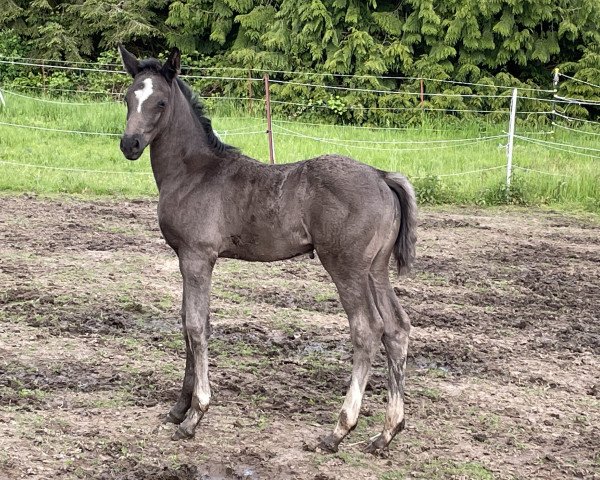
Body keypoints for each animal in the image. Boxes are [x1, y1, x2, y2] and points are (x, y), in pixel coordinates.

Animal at [117, 46, 418, 454]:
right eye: (129, 97)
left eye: (160, 102)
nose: (129, 144)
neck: (194, 172)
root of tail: (382, 176)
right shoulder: (187, 258)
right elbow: (188, 323)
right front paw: (178, 409)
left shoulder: (198, 257)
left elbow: (195, 327)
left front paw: (195, 416)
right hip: (376, 268)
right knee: (396, 328)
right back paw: (386, 432)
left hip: (346, 267)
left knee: (368, 330)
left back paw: (338, 431)